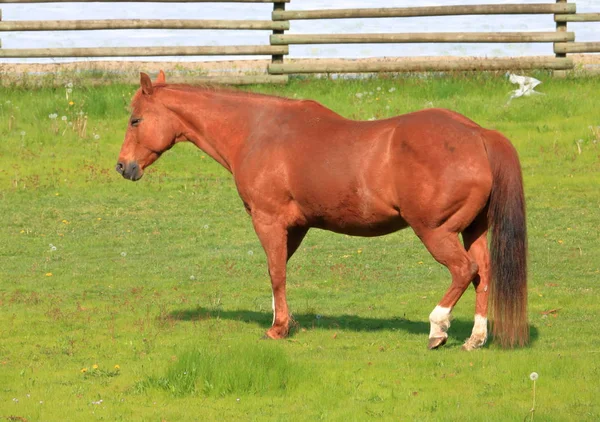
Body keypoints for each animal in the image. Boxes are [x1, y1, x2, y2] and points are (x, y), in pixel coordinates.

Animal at [115, 71, 528, 350]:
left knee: (464, 270)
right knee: (483, 274)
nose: (123, 166)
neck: (257, 131)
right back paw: (475, 338)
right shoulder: (295, 227)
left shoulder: (268, 221)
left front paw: (278, 328)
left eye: (136, 119)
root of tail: (478, 134)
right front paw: (282, 319)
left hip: (435, 231)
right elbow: (277, 273)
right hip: (472, 229)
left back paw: (437, 328)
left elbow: (276, 272)